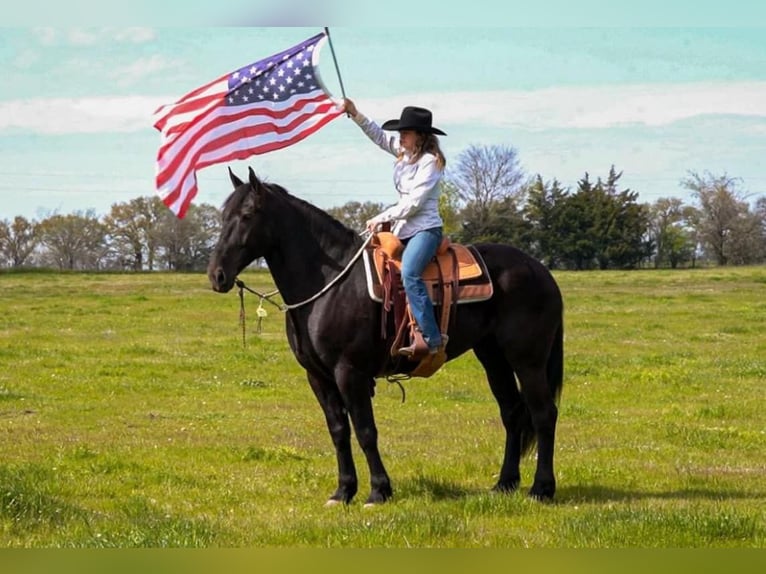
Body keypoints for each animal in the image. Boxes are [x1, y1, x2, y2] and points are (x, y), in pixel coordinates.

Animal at [208, 168, 564, 508]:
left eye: (248, 214)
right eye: (224, 215)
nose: (217, 275)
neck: (330, 283)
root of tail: (540, 270)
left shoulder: (349, 372)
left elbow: (366, 431)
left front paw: (378, 491)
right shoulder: (318, 376)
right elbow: (339, 431)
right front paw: (343, 492)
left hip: (527, 360)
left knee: (543, 413)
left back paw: (541, 489)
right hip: (493, 358)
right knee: (512, 413)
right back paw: (505, 484)